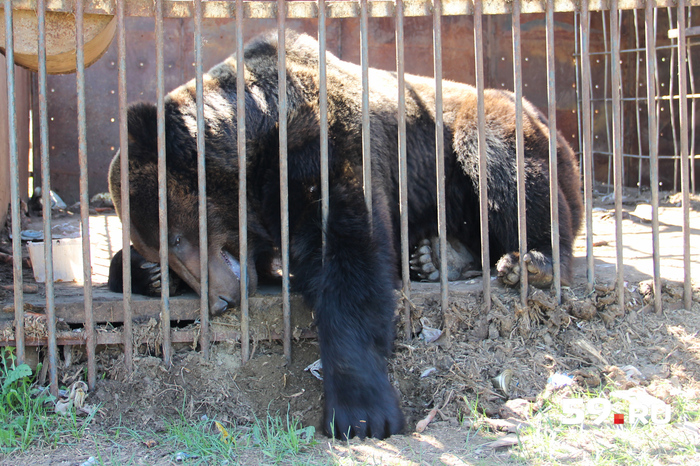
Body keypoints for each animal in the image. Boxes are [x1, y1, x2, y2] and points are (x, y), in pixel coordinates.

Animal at [106, 31, 584, 438]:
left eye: (177, 237)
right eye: (163, 247)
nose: (220, 301)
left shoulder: (323, 143)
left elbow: (350, 257)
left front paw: (360, 412)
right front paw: (145, 274)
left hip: (485, 131)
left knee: (505, 167)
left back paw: (531, 263)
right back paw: (436, 256)